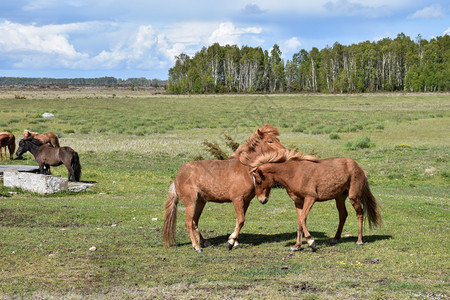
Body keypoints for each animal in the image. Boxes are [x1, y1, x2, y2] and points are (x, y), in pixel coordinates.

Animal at [163, 124, 286, 253]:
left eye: (278, 139)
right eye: (270, 141)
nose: (284, 153)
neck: (245, 169)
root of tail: (177, 177)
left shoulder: (246, 201)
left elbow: (239, 221)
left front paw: (234, 242)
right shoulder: (237, 200)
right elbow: (241, 220)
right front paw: (230, 242)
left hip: (200, 202)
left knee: (194, 222)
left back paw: (205, 242)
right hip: (191, 203)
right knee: (188, 223)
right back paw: (197, 247)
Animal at [251, 150, 382, 251]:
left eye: (259, 182)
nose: (262, 200)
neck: (294, 173)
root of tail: (359, 168)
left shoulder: (310, 198)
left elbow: (303, 219)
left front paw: (311, 242)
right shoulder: (298, 202)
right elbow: (299, 222)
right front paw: (297, 246)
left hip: (353, 197)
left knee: (360, 214)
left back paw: (359, 240)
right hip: (339, 198)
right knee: (343, 215)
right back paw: (335, 238)